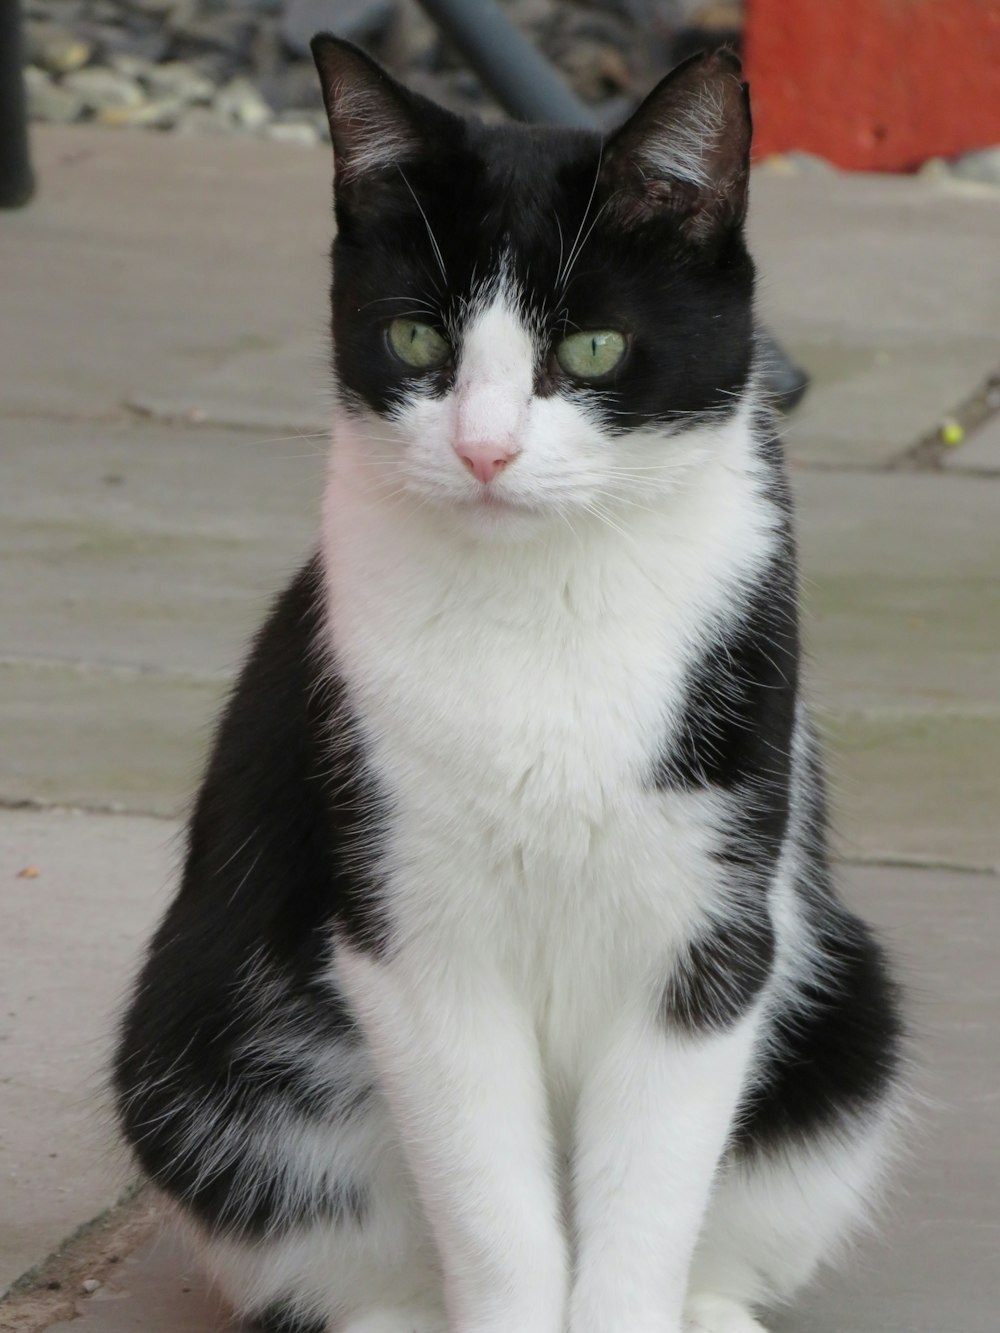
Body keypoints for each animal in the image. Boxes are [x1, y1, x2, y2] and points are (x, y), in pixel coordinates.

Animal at [113, 36, 906, 1333]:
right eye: (415, 344)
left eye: (589, 348)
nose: (483, 448)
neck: (543, 609)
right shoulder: (410, 940)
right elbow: (490, 1206)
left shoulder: (704, 937)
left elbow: (647, 1200)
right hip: (193, 1059)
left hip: (845, 1023)